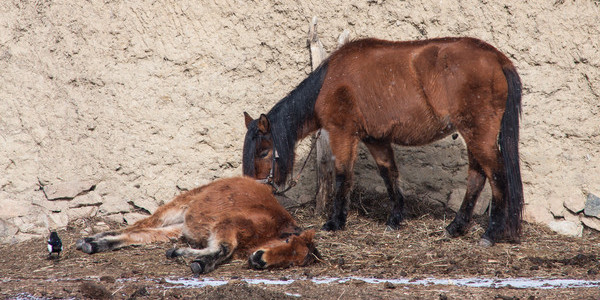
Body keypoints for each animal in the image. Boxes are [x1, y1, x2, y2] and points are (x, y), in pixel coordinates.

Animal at [241, 37, 524, 246]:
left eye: (264, 152)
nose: (254, 190)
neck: (329, 82)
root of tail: (496, 58)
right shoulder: (375, 139)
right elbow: (389, 174)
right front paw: (395, 218)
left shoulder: (343, 134)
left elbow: (343, 175)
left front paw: (335, 222)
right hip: (474, 135)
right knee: (477, 177)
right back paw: (456, 227)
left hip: (478, 134)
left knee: (496, 176)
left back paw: (491, 233)